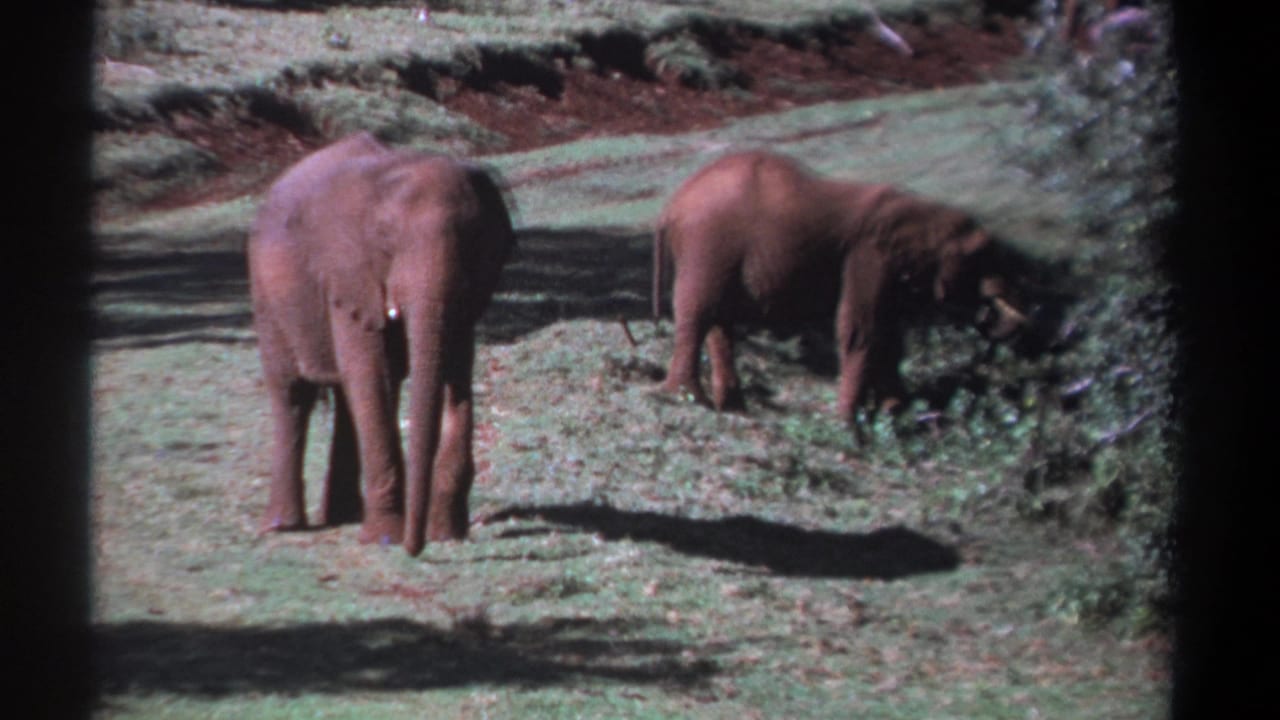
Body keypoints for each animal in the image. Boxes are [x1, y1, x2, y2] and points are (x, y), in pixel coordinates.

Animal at [248, 132, 515, 556]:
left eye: (474, 237)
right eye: (387, 240)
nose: (415, 547)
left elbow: (457, 372)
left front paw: (446, 534)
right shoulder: (349, 276)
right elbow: (372, 374)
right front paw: (387, 539)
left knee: (347, 398)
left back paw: (344, 516)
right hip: (266, 296)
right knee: (293, 394)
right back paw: (283, 526)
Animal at [652, 150, 1026, 422]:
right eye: (980, 255)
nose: (987, 317)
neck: (924, 213)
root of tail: (672, 205)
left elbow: (889, 334)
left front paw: (894, 414)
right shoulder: (869, 256)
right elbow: (862, 329)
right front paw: (849, 422)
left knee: (719, 321)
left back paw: (732, 408)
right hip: (708, 244)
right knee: (699, 314)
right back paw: (687, 398)